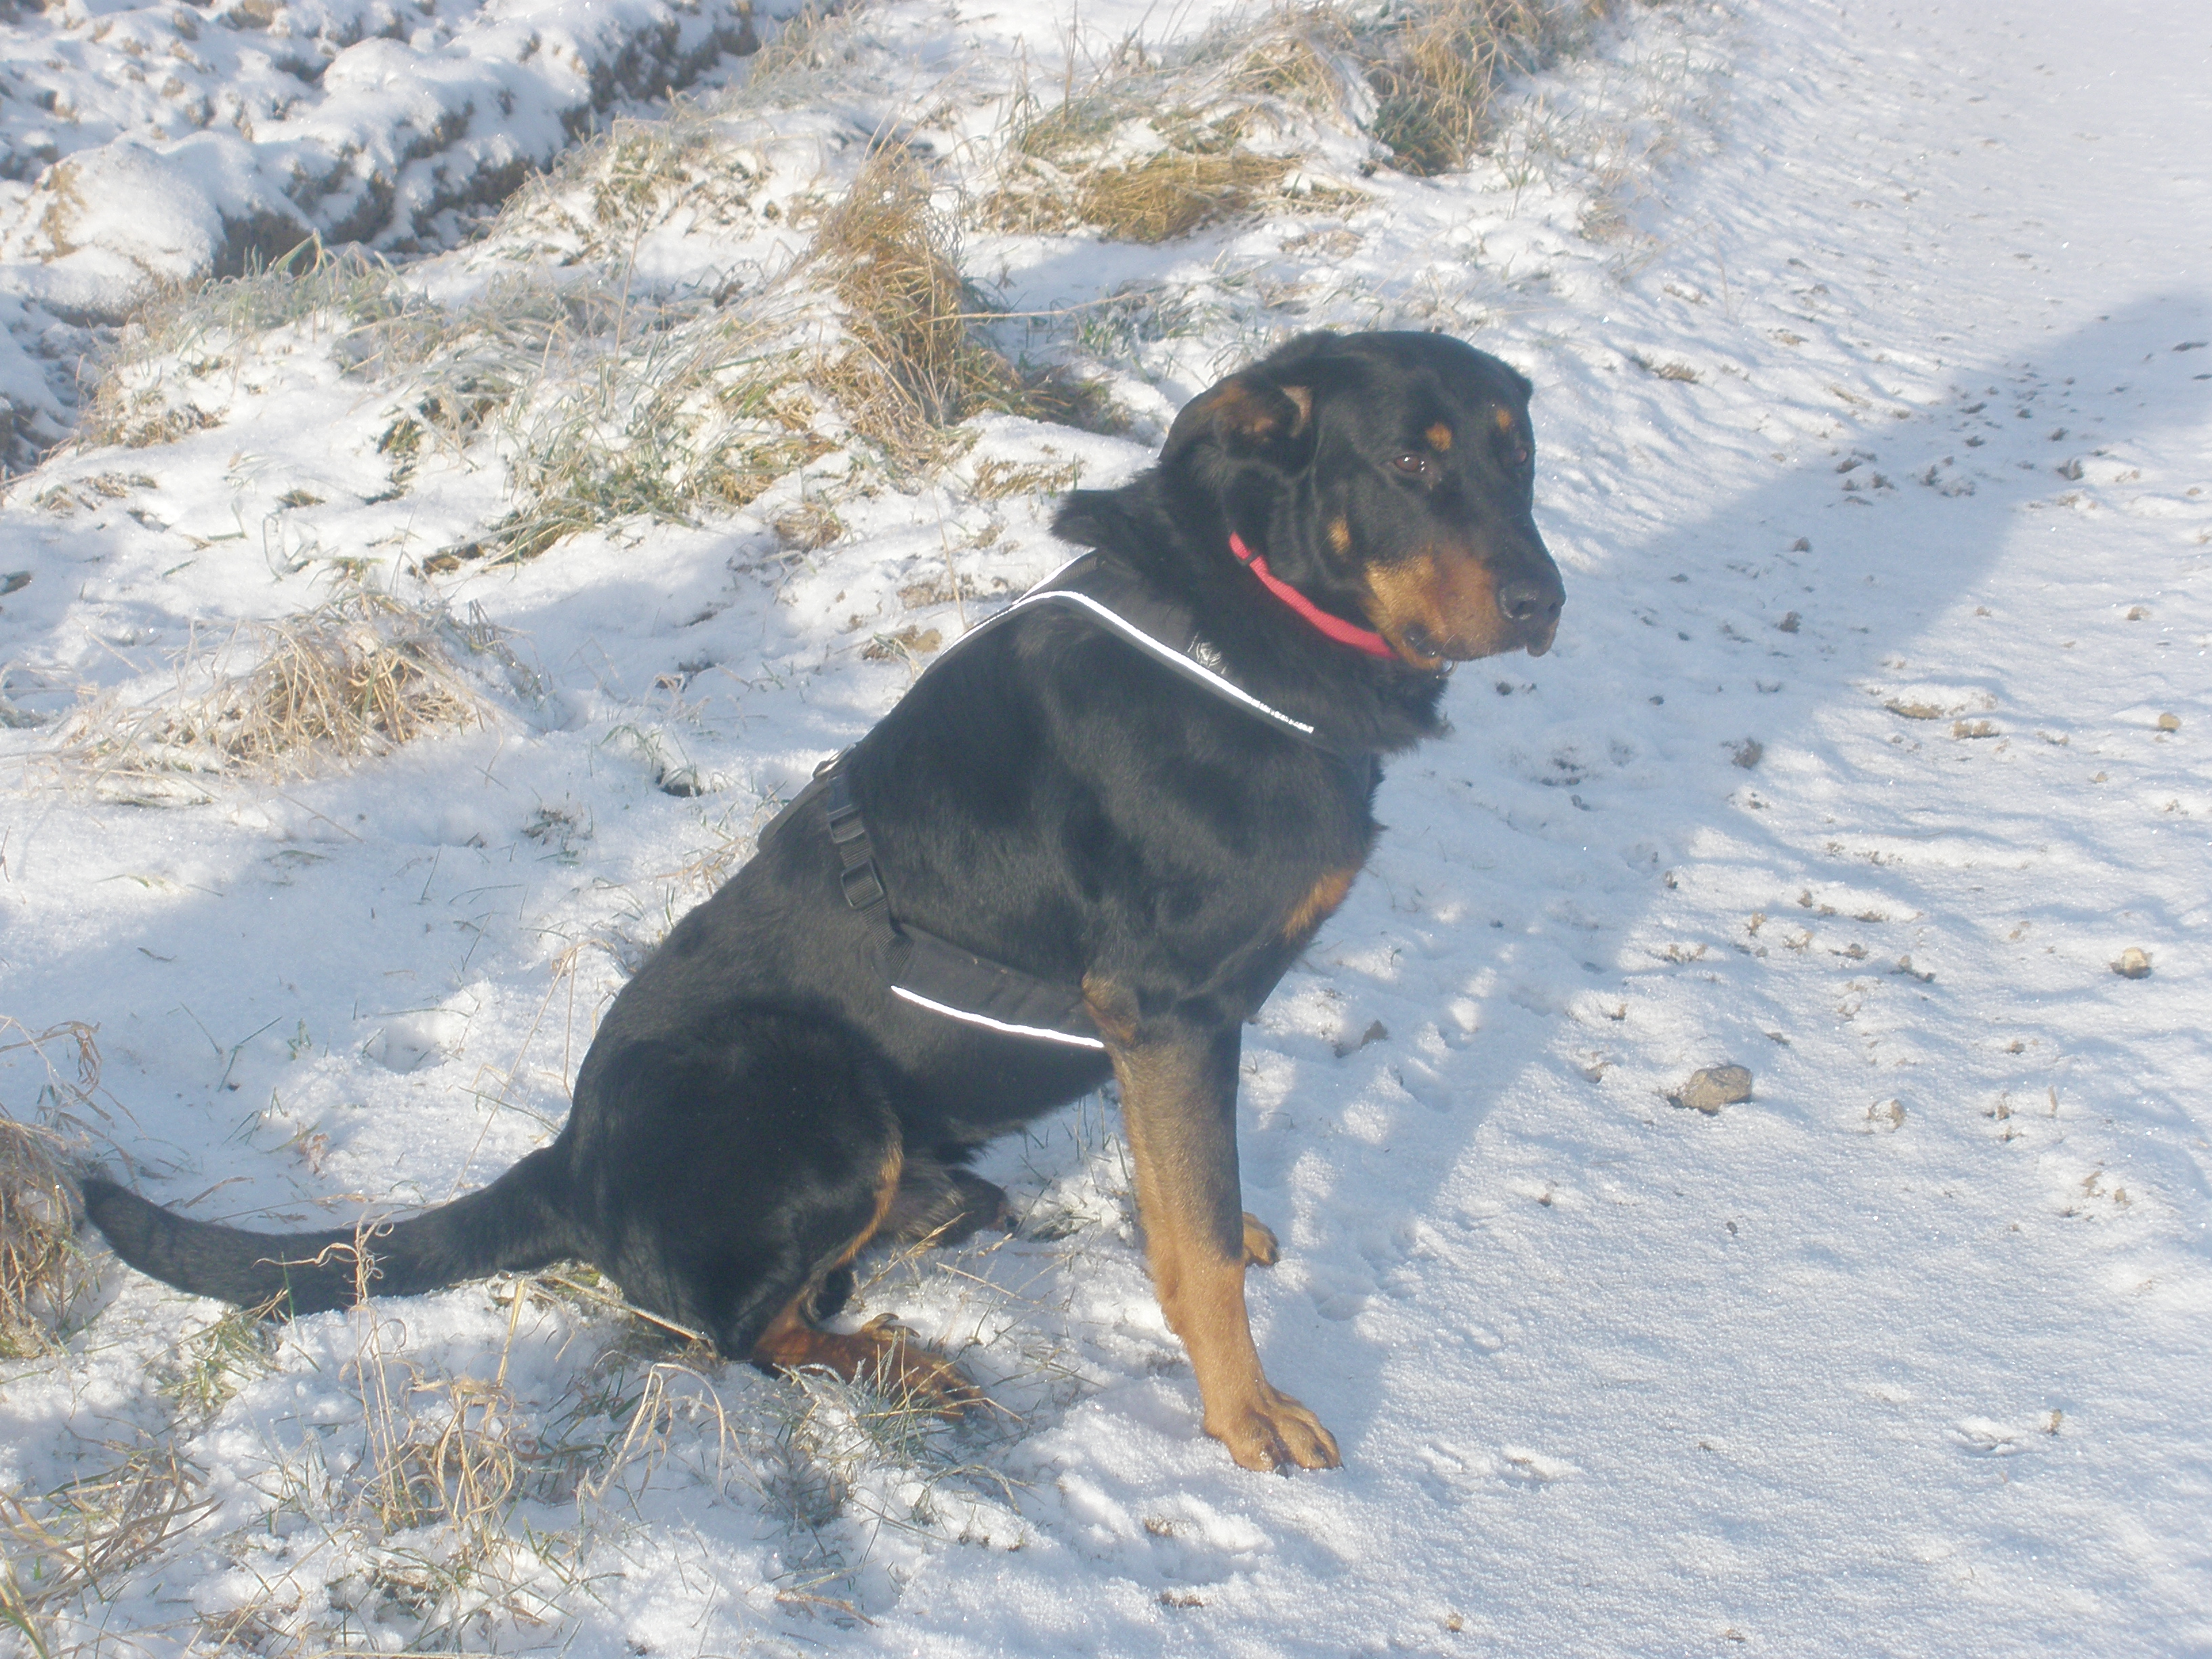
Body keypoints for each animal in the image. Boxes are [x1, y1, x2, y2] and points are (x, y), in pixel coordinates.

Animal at [83, 329, 1562, 1473]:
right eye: (1410, 463)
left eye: (1518, 454)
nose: (1545, 600)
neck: (1257, 620)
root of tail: (569, 1160)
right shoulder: (1166, 1009)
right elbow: (1193, 1244)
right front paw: (1246, 1413)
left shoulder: (1177, 1032)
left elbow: (1186, 1194)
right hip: (811, 1088)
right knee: (750, 1337)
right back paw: (903, 1359)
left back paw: (945, 1208)